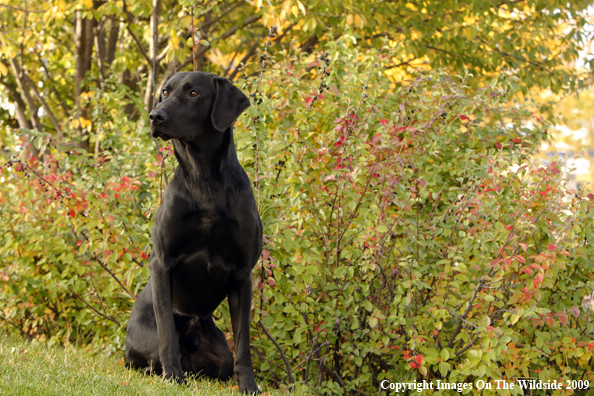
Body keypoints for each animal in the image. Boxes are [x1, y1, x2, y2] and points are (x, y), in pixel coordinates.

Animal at [123, 70, 260, 392]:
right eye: (164, 92)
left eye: (194, 93)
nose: (155, 116)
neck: (204, 178)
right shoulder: (161, 263)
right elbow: (167, 335)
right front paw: (173, 377)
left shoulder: (242, 274)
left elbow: (243, 344)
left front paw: (249, 387)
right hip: (143, 342)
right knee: (150, 357)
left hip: (218, 352)